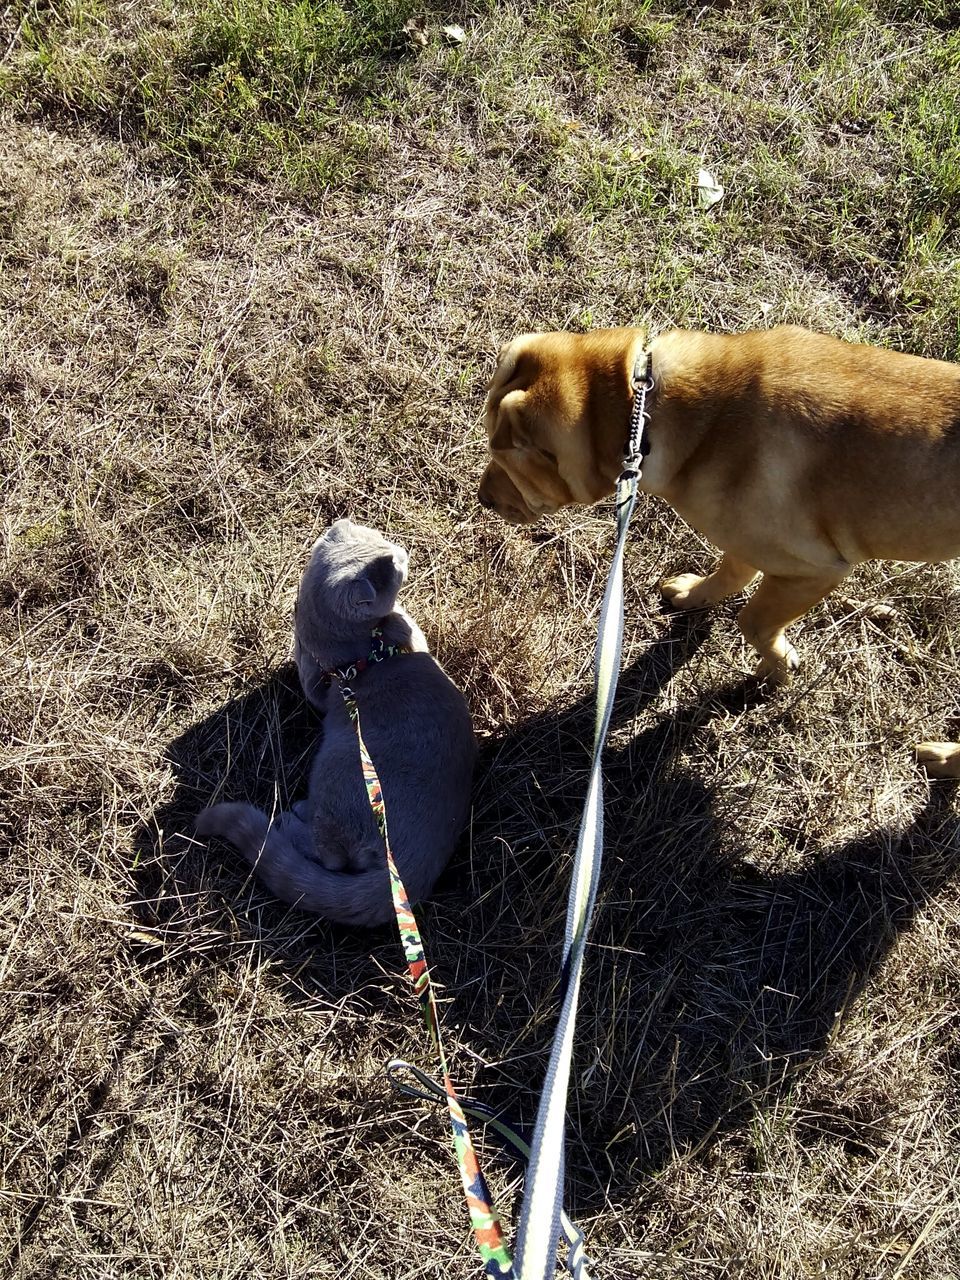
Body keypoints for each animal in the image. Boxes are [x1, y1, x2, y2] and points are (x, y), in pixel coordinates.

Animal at [478, 325, 960, 773]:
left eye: (505, 463)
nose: (482, 499)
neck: (645, 410)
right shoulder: (745, 536)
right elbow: (732, 573)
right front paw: (695, 596)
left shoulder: (814, 569)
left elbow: (753, 621)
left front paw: (777, 670)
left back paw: (943, 758)